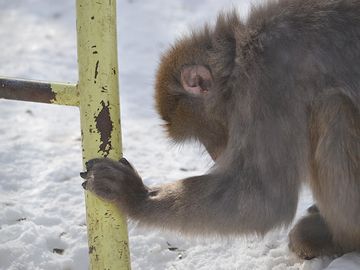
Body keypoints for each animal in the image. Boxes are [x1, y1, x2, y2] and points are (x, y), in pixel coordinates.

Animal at [80, 0, 358, 262]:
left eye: (201, 132)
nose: (214, 153)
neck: (239, 58)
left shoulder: (266, 88)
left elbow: (265, 200)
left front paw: (135, 196)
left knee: (332, 107)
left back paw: (340, 240)